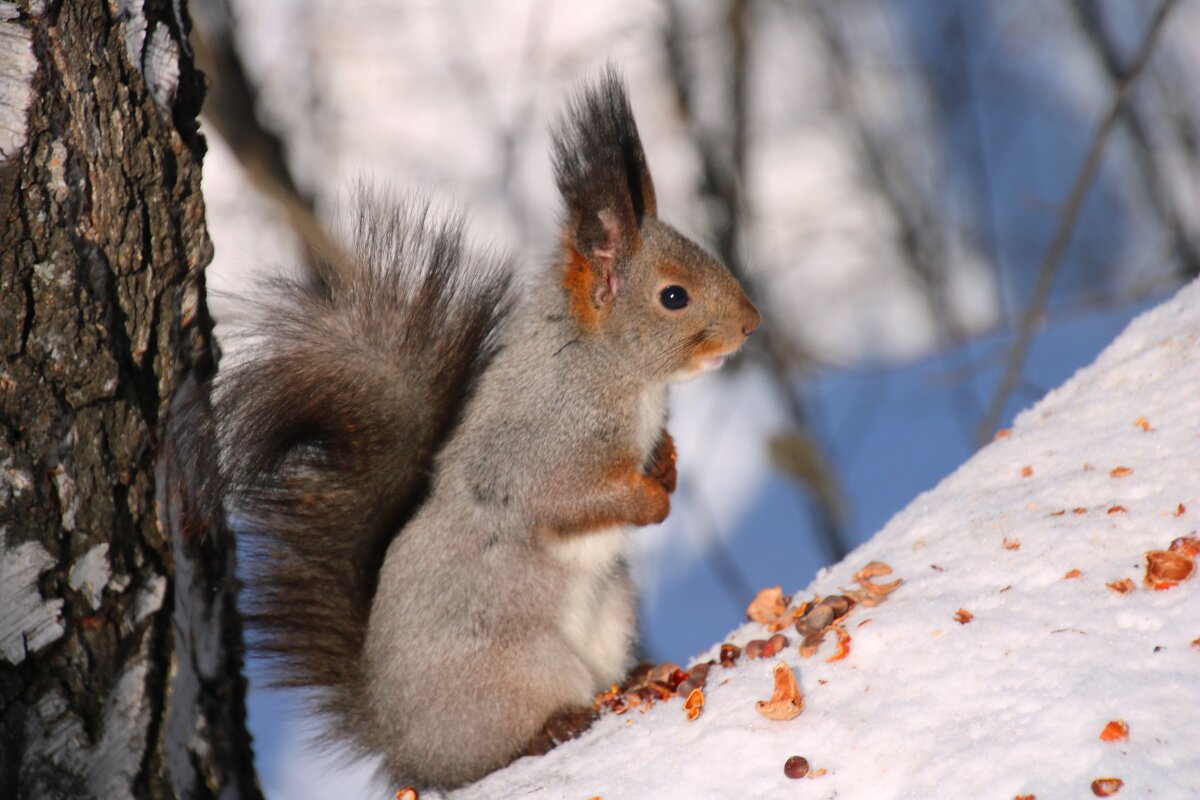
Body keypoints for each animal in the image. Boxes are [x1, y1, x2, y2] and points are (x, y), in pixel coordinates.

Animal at [213, 67, 758, 786]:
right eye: (674, 296)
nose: (752, 324)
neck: (612, 372)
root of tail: (402, 743)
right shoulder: (542, 453)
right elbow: (568, 501)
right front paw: (651, 501)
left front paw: (665, 465)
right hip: (523, 669)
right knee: (494, 750)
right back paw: (551, 728)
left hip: (610, 614)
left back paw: (641, 674)